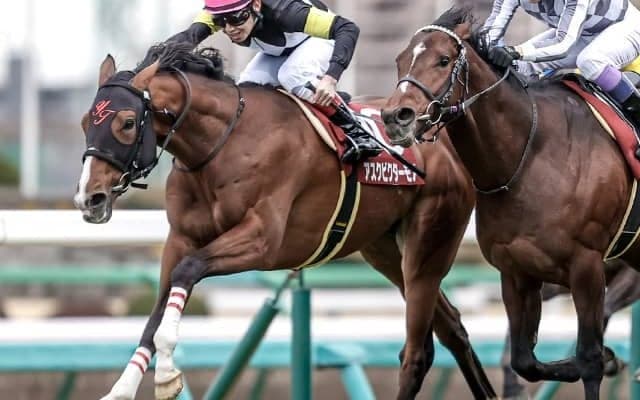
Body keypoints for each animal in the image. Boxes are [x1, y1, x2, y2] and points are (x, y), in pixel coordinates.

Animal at [73, 42, 497, 400]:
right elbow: (157, 310)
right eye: (85, 122)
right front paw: (123, 388)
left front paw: (165, 375)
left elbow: (188, 271)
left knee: (417, 351)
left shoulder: (263, 241)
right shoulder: (180, 239)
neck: (221, 144)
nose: (88, 198)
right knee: (451, 329)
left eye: (127, 122)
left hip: (429, 244)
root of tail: (446, 145)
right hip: (386, 251)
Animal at [381, 7, 640, 400]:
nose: (396, 117)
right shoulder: (517, 271)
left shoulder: (587, 267)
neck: (530, 156)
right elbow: (524, 361)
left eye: (443, 60)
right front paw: (610, 359)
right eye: (399, 60)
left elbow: (590, 359)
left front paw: (605, 360)